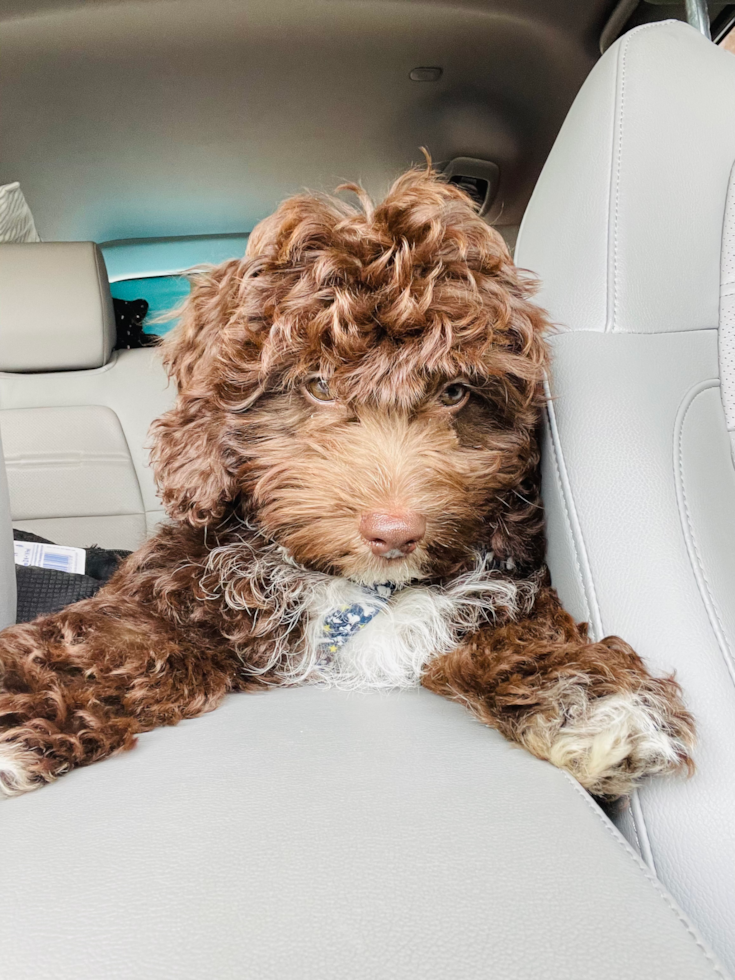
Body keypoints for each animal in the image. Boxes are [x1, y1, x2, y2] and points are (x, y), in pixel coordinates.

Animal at [0, 168, 696, 800]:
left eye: (455, 392)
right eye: (318, 384)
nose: (395, 533)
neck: (360, 590)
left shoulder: (496, 586)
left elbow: (516, 627)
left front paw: (594, 700)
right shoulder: (172, 592)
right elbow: (102, 642)